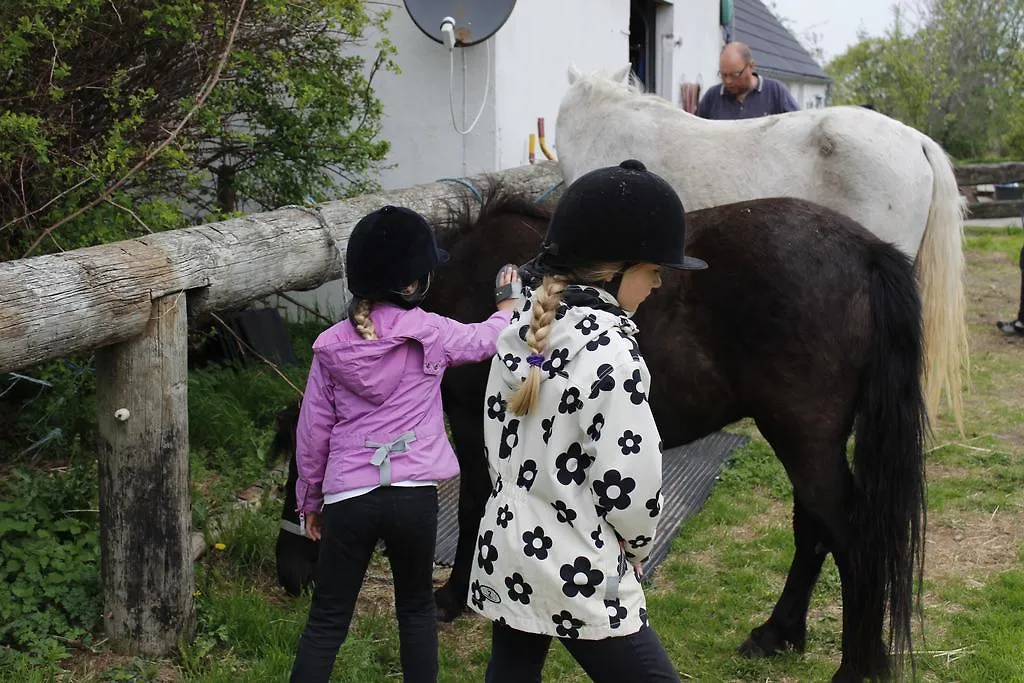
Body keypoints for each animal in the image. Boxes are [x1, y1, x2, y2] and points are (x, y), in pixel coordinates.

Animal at [274, 184, 929, 679]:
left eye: (298, 476)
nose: (290, 576)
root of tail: (866, 249)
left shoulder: (470, 420)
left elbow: (474, 503)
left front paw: (452, 597)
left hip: (802, 436)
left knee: (849, 537)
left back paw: (853, 668)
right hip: (806, 439)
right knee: (814, 529)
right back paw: (777, 633)